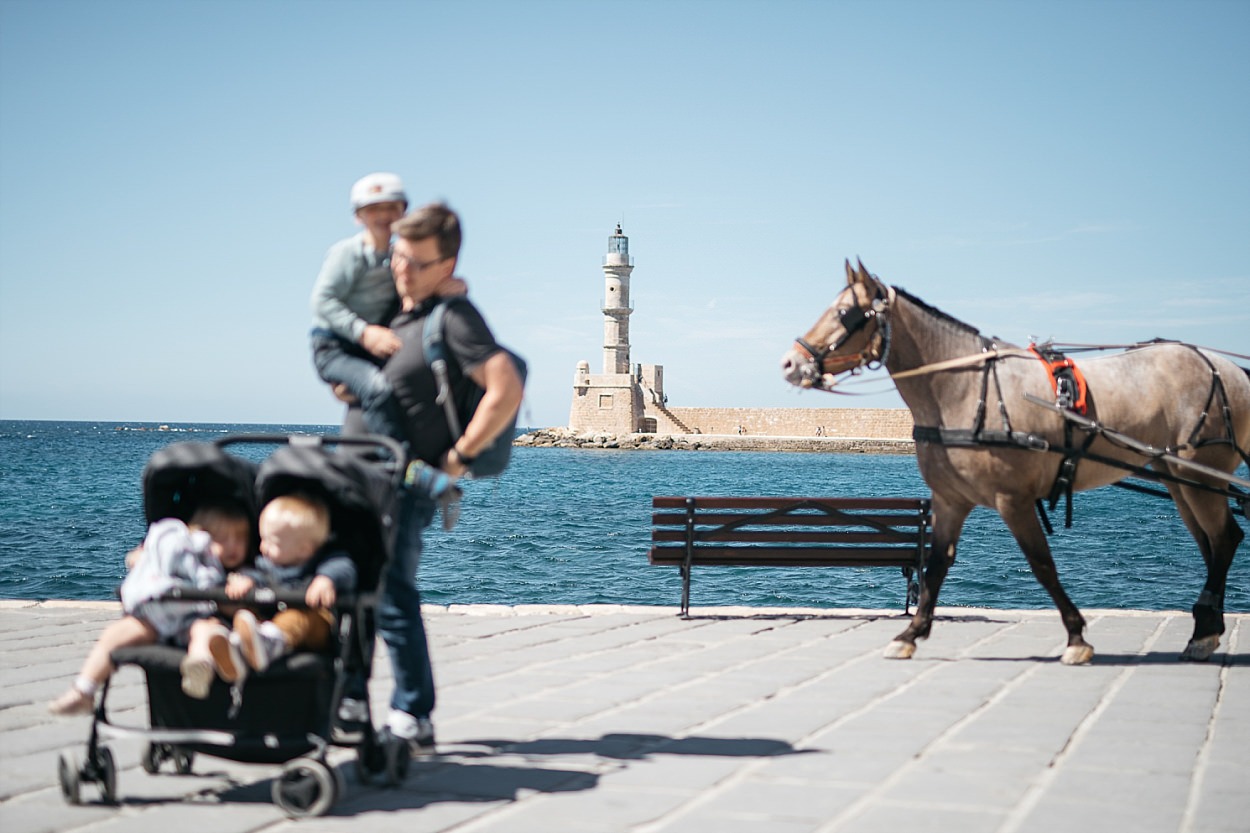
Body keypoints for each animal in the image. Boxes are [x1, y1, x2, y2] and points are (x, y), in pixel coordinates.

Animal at [780, 260, 1250, 660]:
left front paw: (1076, 637)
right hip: (1178, 478)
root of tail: (1230, 369)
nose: (791, 362)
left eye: (844, 312)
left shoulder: (1014, 499)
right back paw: (1205, 628)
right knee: (1212, 544)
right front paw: (912, 633)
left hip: (1199, 472)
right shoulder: (950, 499)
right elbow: (936, 565)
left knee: (1225, 539)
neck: (964, 389)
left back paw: (1204, 629)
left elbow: (1042, 565)